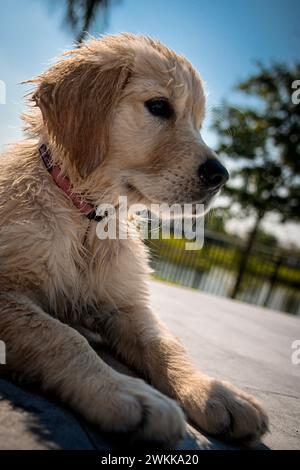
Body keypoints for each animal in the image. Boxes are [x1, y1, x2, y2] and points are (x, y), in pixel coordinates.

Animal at [0, 34, 268, 448]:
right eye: (159, 106)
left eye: (199, 123)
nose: (220, 176)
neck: (87, 219)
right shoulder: (8, 293)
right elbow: (59, 335)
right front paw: (126, 395)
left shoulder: (125, 306)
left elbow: (166, 344)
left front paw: (216, 392)